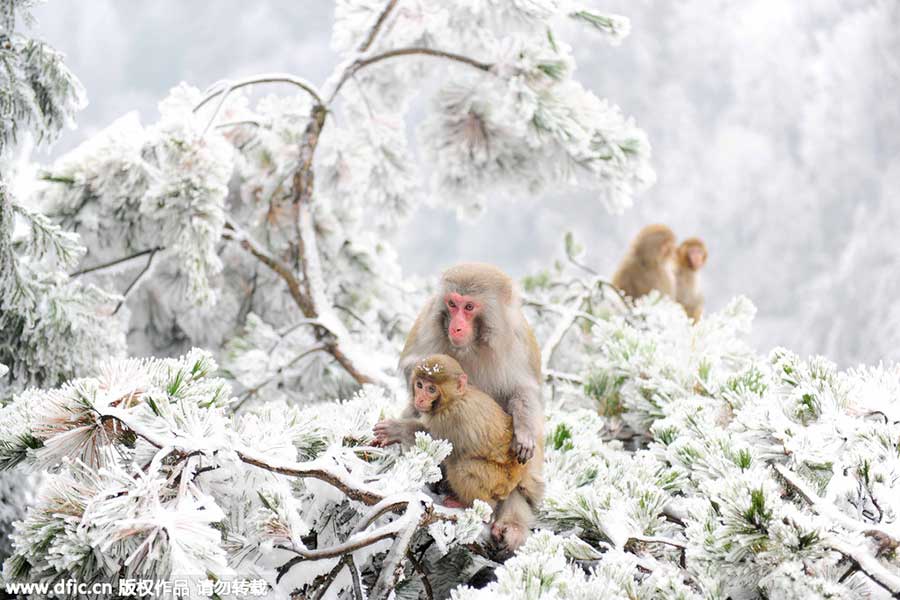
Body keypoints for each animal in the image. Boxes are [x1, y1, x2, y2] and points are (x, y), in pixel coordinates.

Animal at [410, 354, 526, 509]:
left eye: (431, 389)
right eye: (420, 385)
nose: (420, 399)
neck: (453, 400)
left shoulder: (447, 420)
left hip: (496, 479)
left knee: (461, 466)